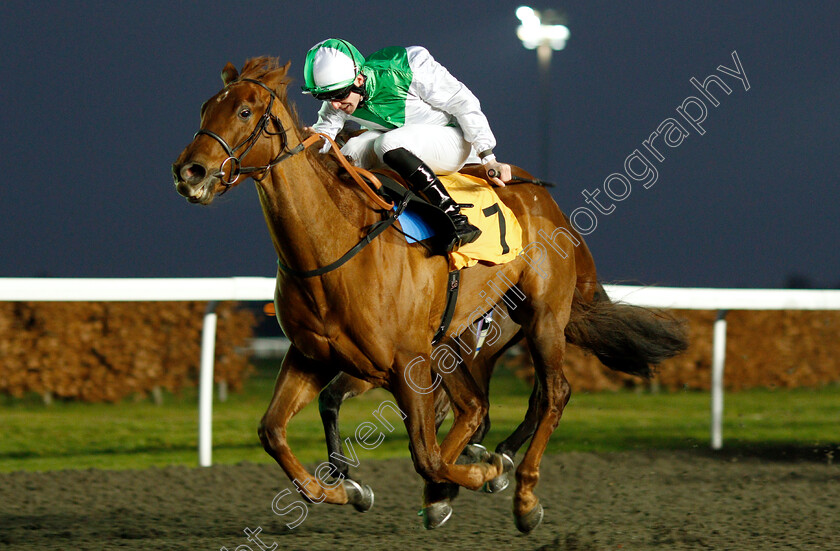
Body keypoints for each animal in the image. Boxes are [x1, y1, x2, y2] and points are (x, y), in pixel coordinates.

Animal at [172, 58, 688, 532]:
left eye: (243, 111)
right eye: (204, 108)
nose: (189, 171)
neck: (335, 250)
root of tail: (542, 197)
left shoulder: (406, 362)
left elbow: (426, 454)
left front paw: (481, 475)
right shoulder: (312, 355)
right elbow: (273, 431)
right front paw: (346, 489)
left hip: (541, 318)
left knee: (551, 394)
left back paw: (520, 493)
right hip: (456, 343)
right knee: (476, 408)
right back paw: (460, 482)